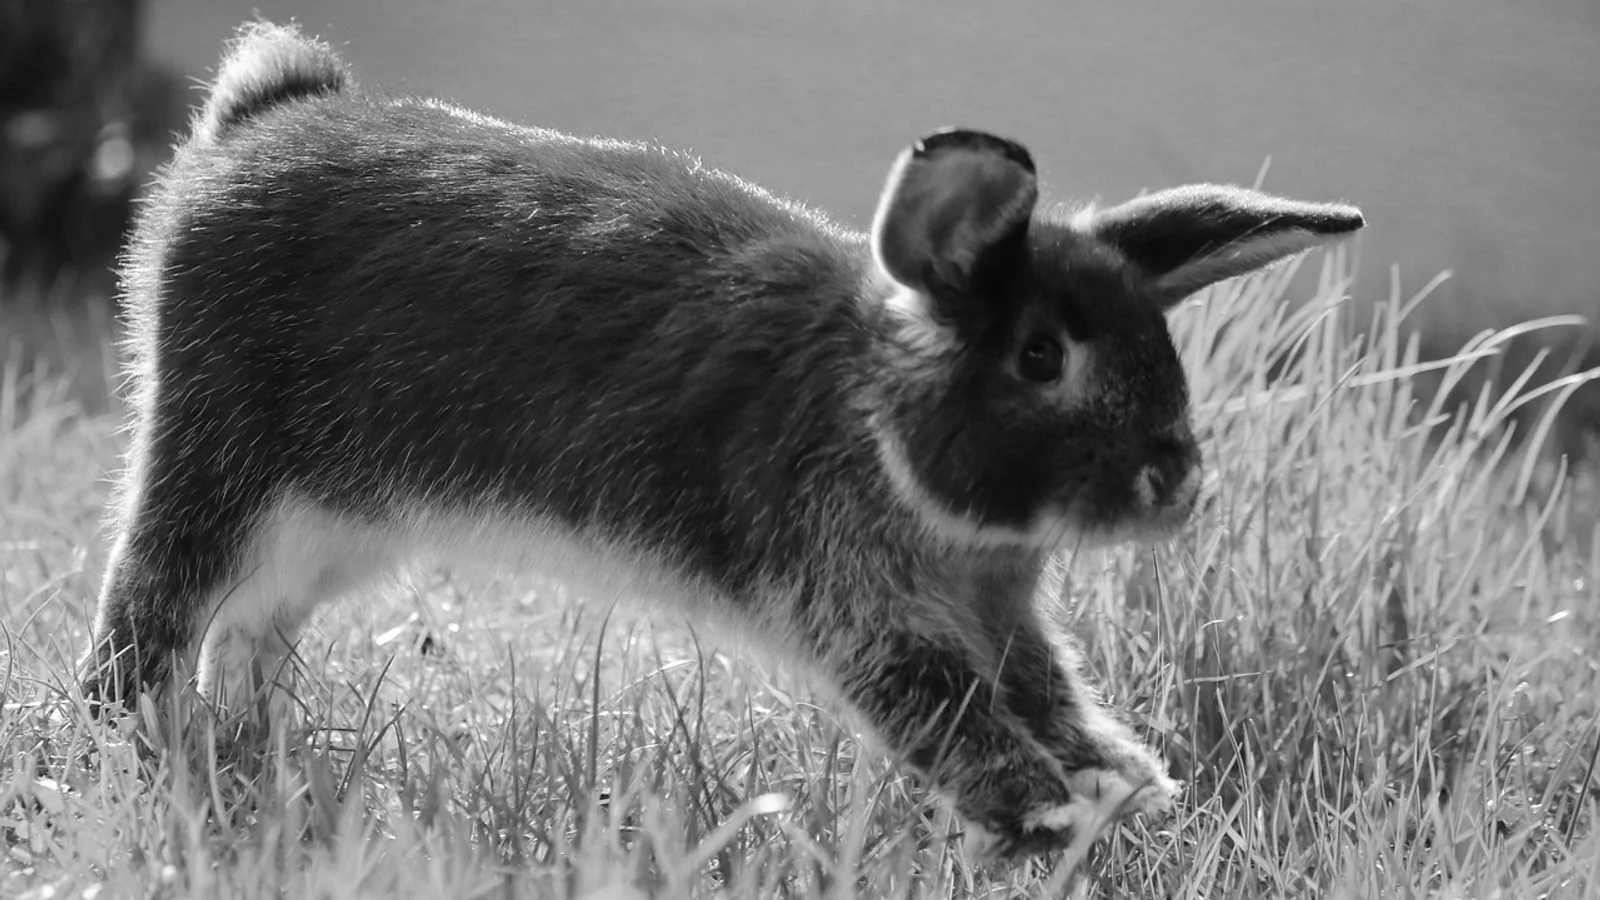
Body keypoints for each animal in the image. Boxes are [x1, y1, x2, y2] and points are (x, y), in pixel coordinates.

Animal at [78, 20, 1364, 860]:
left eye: (1158, 337)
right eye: (1041, 356)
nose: (1176, 482)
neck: (871, 408)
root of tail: (252, 128)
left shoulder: (995, 611)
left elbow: (1043, 689)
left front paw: (1126, 787)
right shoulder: (865, 609)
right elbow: (949, 711)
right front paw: (1046, 814)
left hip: (331, 526)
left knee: (248, 627)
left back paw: (248, 751)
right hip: (219, 460)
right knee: (154, 605)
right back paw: (126, 754)